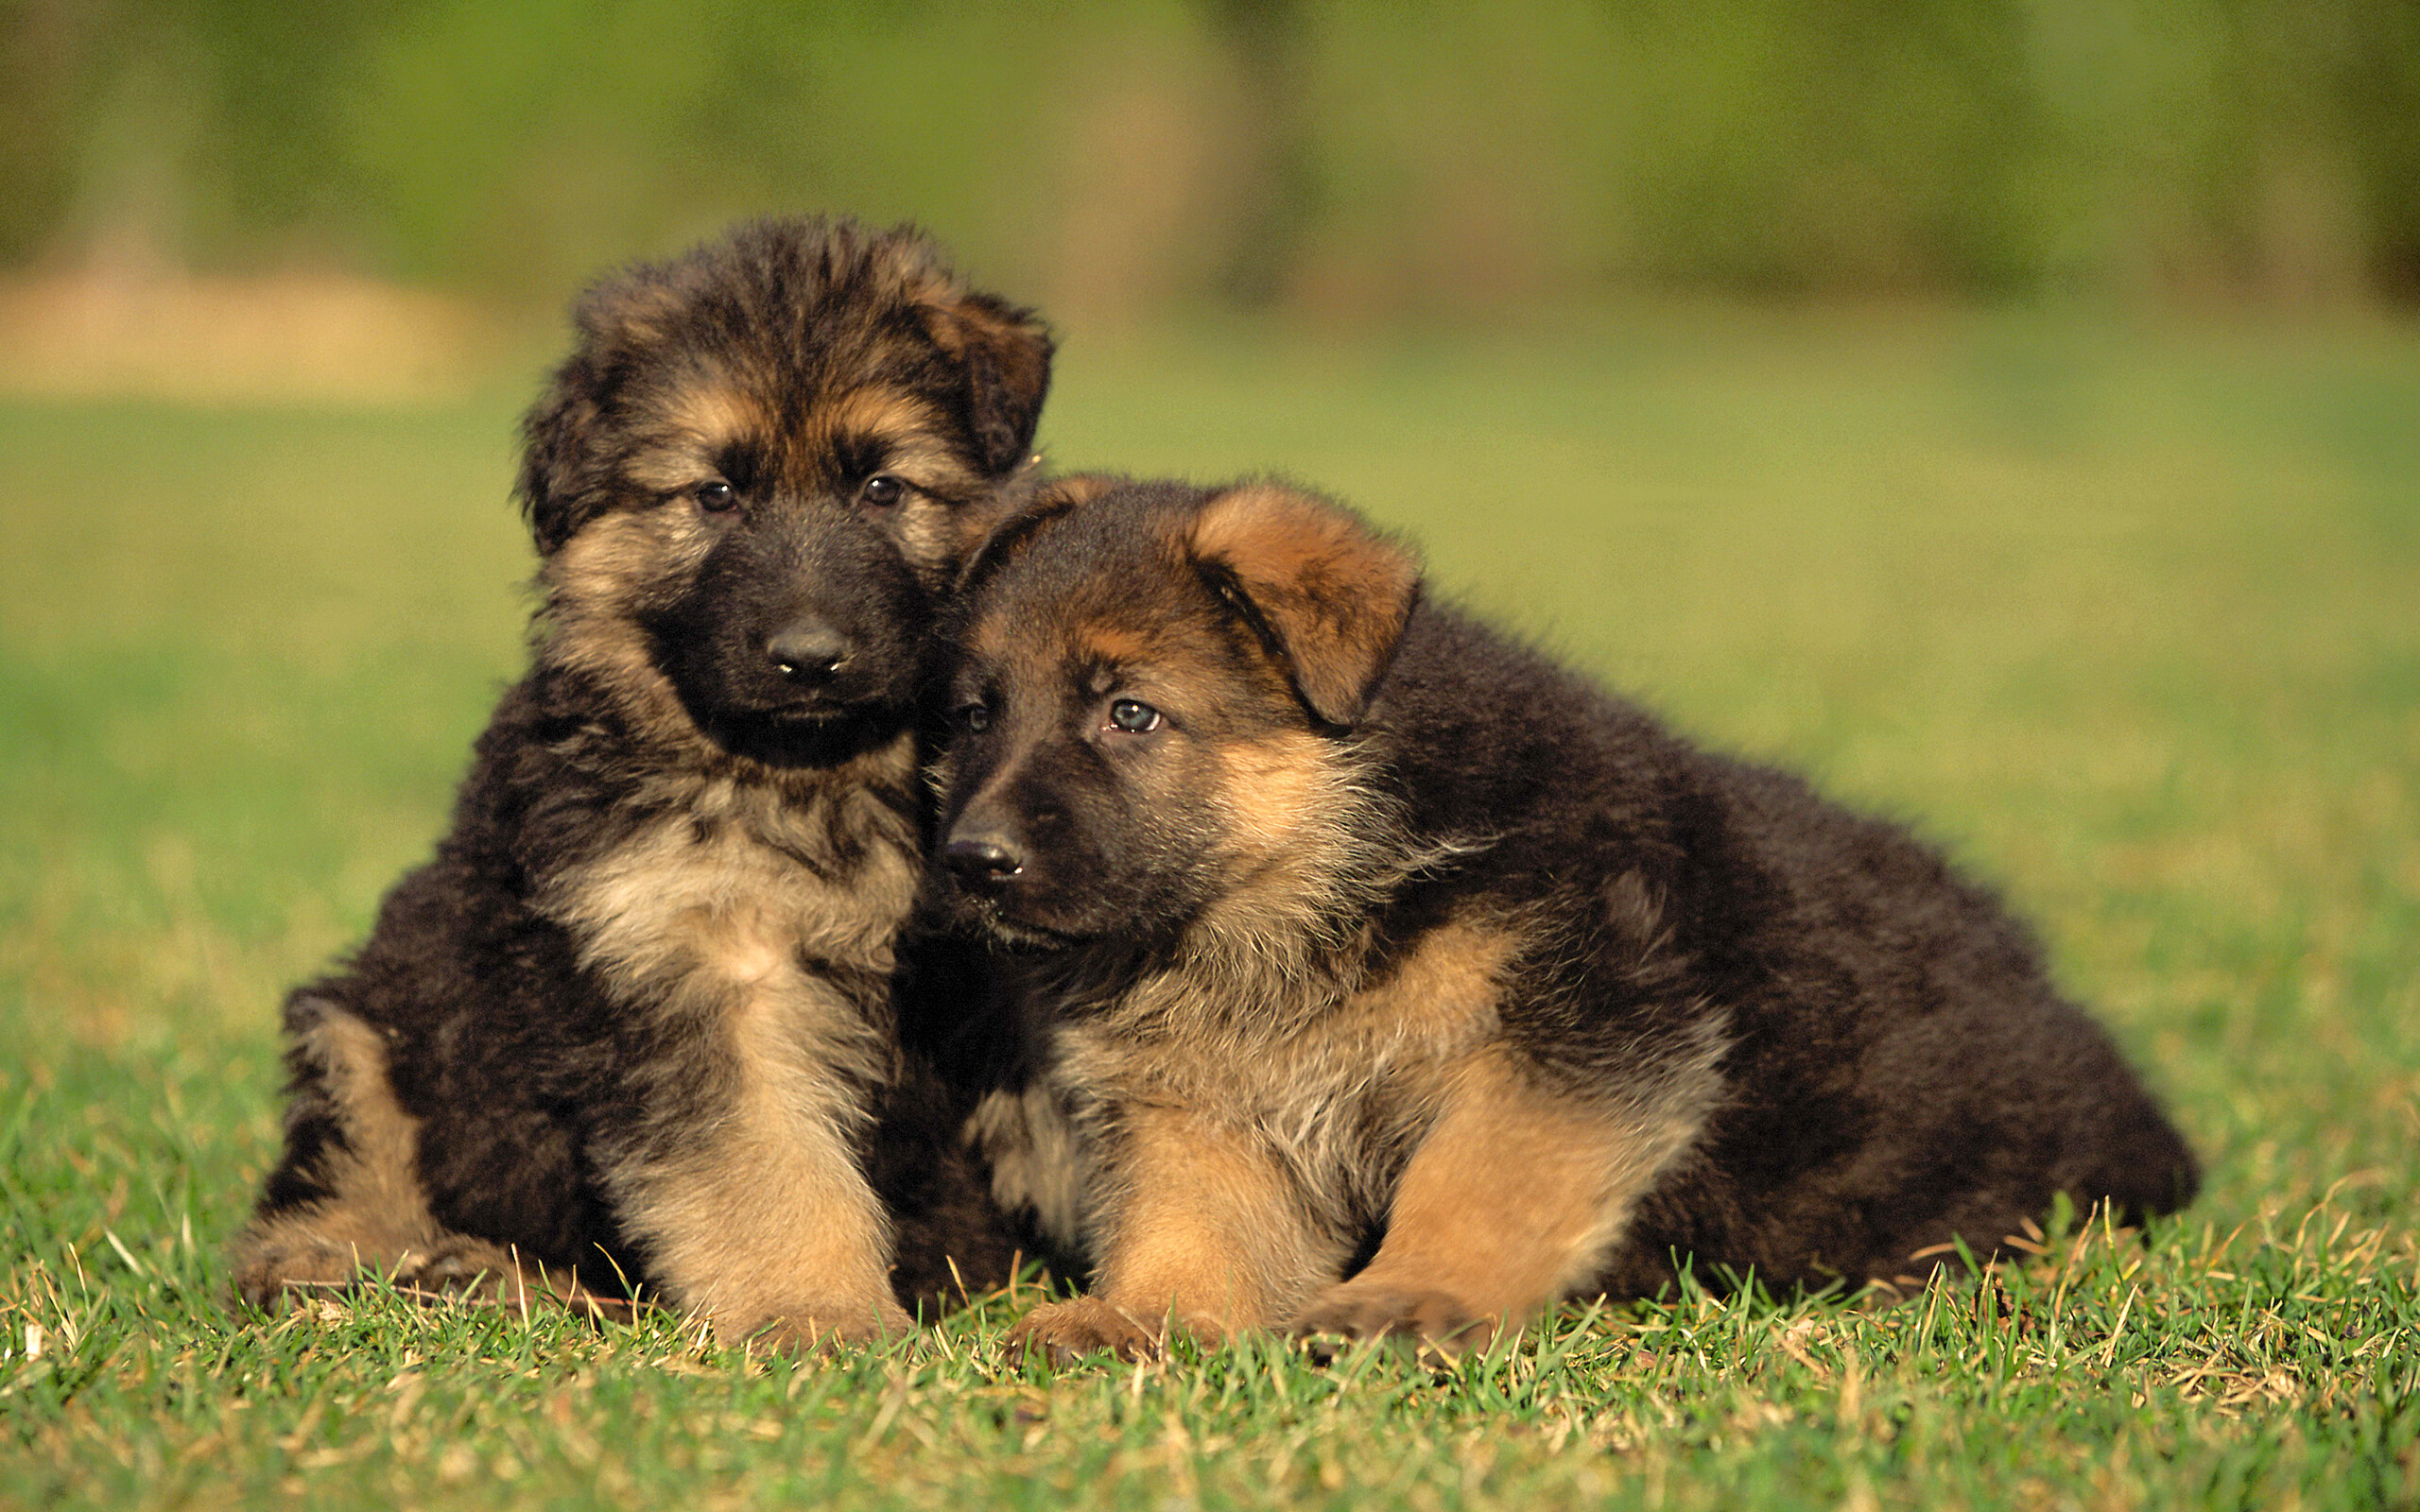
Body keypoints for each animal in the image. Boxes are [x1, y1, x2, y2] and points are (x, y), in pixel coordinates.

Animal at [231, 215, 1055, 1345]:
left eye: (883, 487)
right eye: (715, 494)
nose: (808, 658)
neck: (812, 774)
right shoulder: (704, 970)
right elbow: (770, 1165)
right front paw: (819, 1310)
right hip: (363, 1027)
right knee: (350, 1164)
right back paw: (380, 1265)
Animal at [924, 476, 2197, 1364]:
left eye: (1131, 714)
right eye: (977, 715)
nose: (971, 863)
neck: (1307, 883)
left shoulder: (1576, 1031)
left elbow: (1479, 1176)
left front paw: (1413, 1296)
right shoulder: (1200, 1103)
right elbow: (1190, 1220)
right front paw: (1146, 1317)